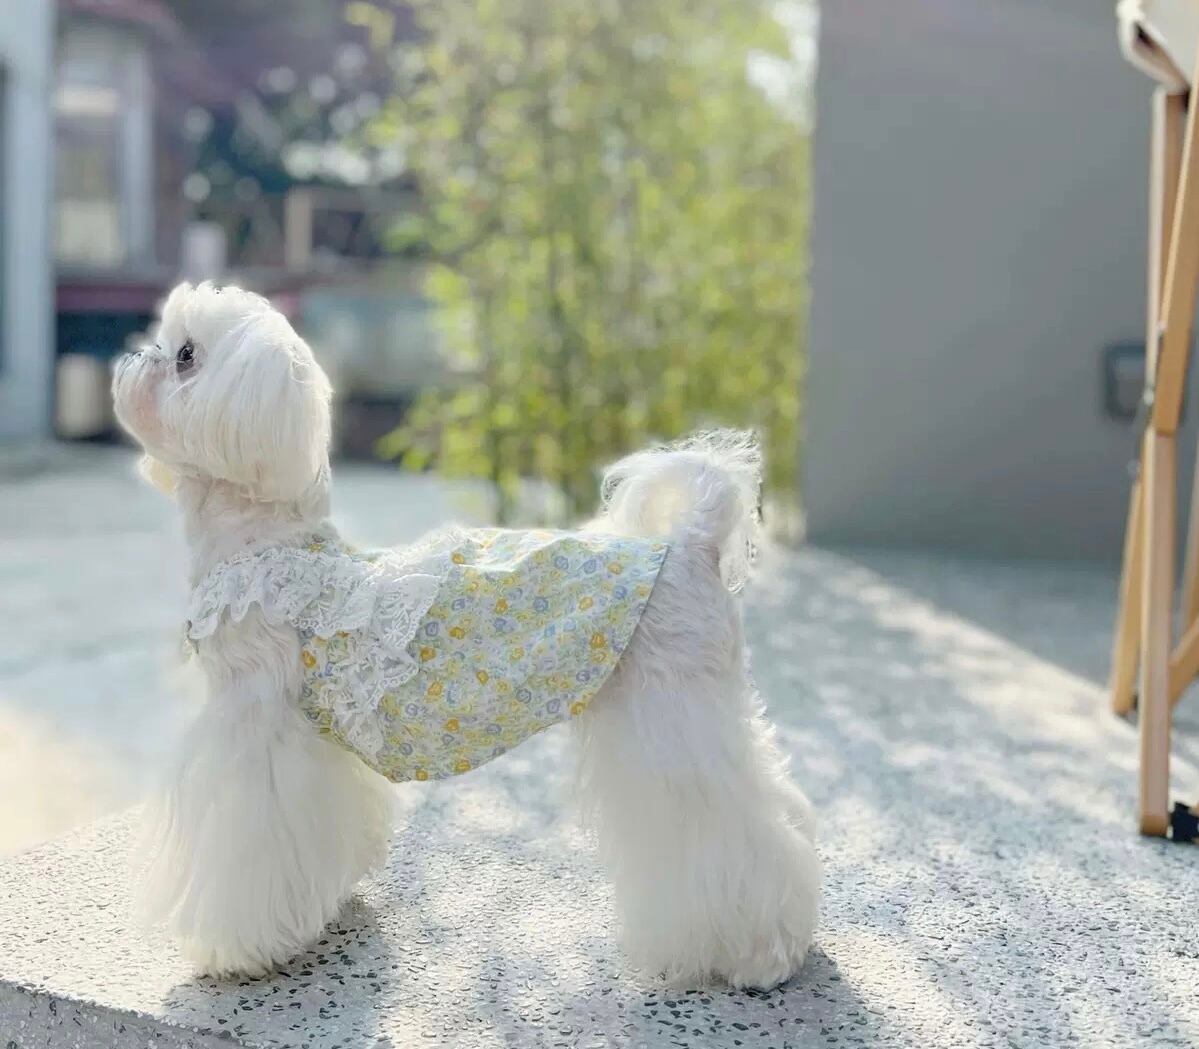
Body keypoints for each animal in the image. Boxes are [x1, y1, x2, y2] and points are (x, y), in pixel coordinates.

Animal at [112, 281, 820, 989]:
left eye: (185, 355)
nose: (135, 354)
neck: (264, 544)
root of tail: (691, 542)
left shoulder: (253, 722)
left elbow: (241, 841)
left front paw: (239, 948)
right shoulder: (314, 735)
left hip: (674, 718)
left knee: (737, 836)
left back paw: (760, 953)